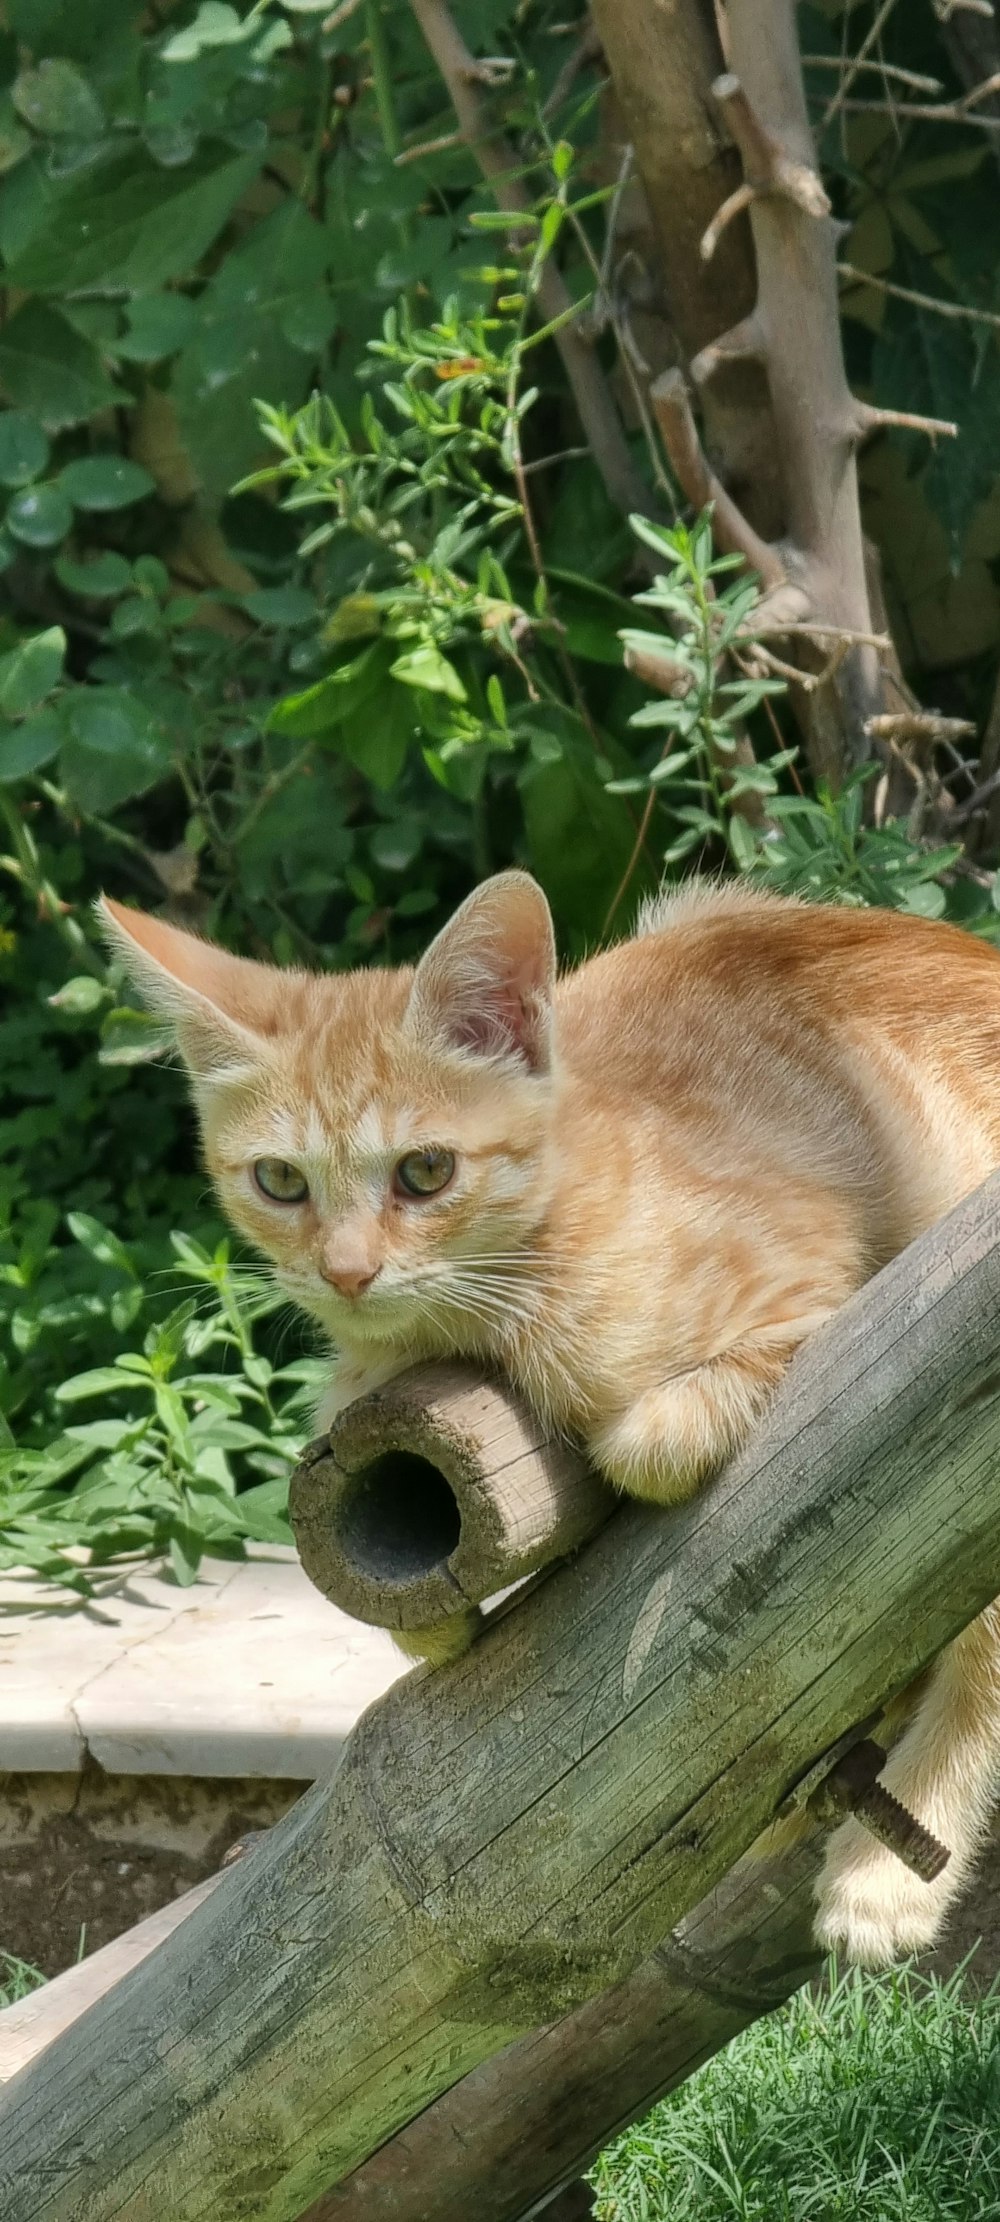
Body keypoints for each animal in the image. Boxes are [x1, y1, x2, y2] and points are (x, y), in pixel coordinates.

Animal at [101, 871, 1000, 1964]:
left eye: (426, 1170)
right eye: (279, 1181)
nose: (347, 1272)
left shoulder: (823, 1290)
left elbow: (646, 1445)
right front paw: (436, 1620)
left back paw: (887, 1866)